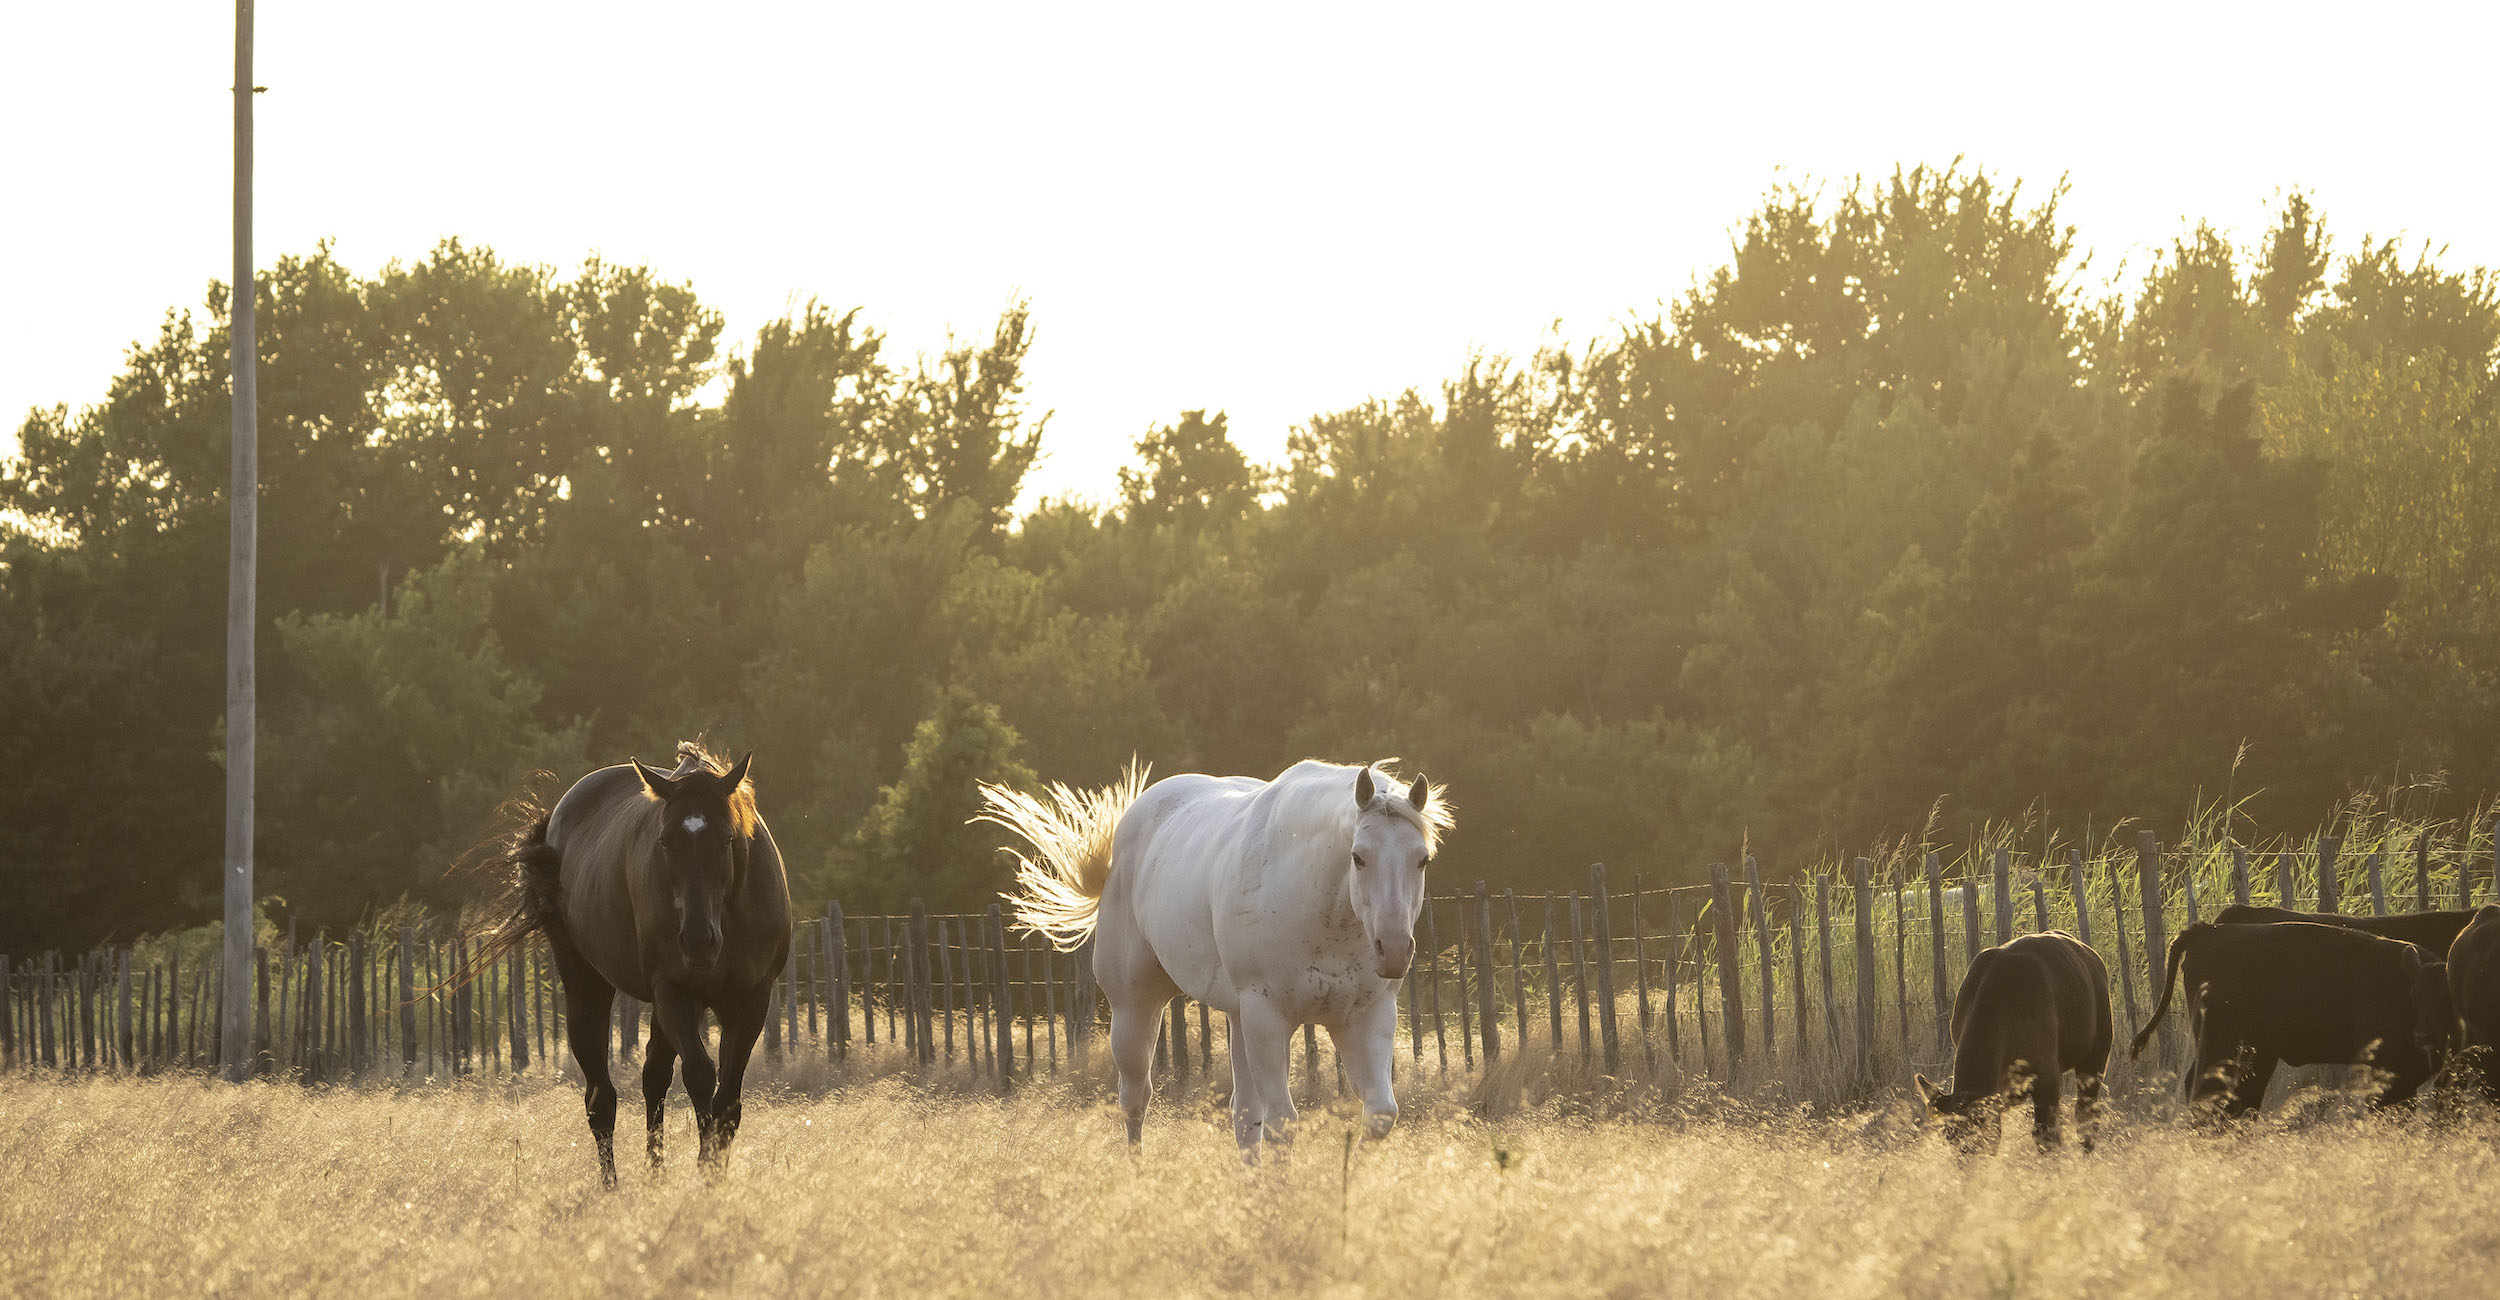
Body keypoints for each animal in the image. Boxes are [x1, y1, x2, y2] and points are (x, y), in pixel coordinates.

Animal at [472, 743, 790, 1188]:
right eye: (665, 841)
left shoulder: (751, 1001)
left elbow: (727, 1098)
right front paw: (705, 1171)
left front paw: (713, 1174)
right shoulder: (673, 991)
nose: (697, 940)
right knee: (600, 1096)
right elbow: (700, 1074)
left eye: (727, 838)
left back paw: (655, 1176)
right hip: (588, 983)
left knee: (653, 1077)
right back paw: (612, 1186)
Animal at [982, 758, 1452, 1158]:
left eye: (1423, 860)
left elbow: (1379, 1116)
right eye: (1358, 857)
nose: (1394, 949)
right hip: (1137, 1008)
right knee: (1135, 1101)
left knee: (1244, 1118)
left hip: (1239, 1020)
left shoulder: (1365, 1017)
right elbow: (1283, 1123)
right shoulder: (1267, 1018)